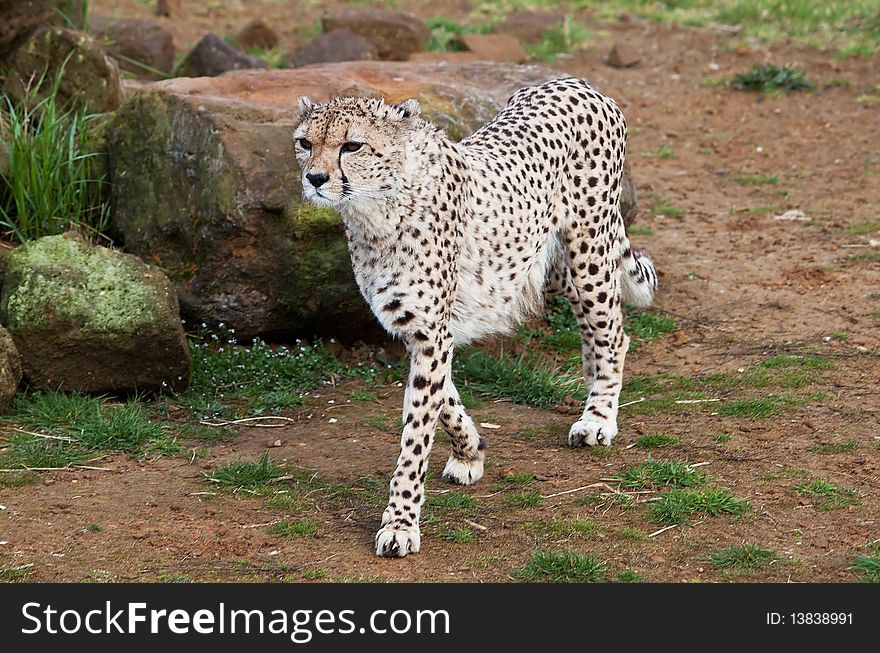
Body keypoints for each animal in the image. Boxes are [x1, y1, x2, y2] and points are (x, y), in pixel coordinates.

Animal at [292, 75, 656, 556]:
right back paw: (591, 383)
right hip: (545, 265)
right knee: (594, 323)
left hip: (588, 248)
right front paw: (470, 452)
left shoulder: (431, 332)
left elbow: (416, 433)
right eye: (305, 142)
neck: (377, 206)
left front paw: (401, 522)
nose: (315, 179)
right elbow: (442, 400)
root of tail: (573, 81)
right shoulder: (415, 325)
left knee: (612, 330)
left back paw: (598, 416)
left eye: (352, 146)